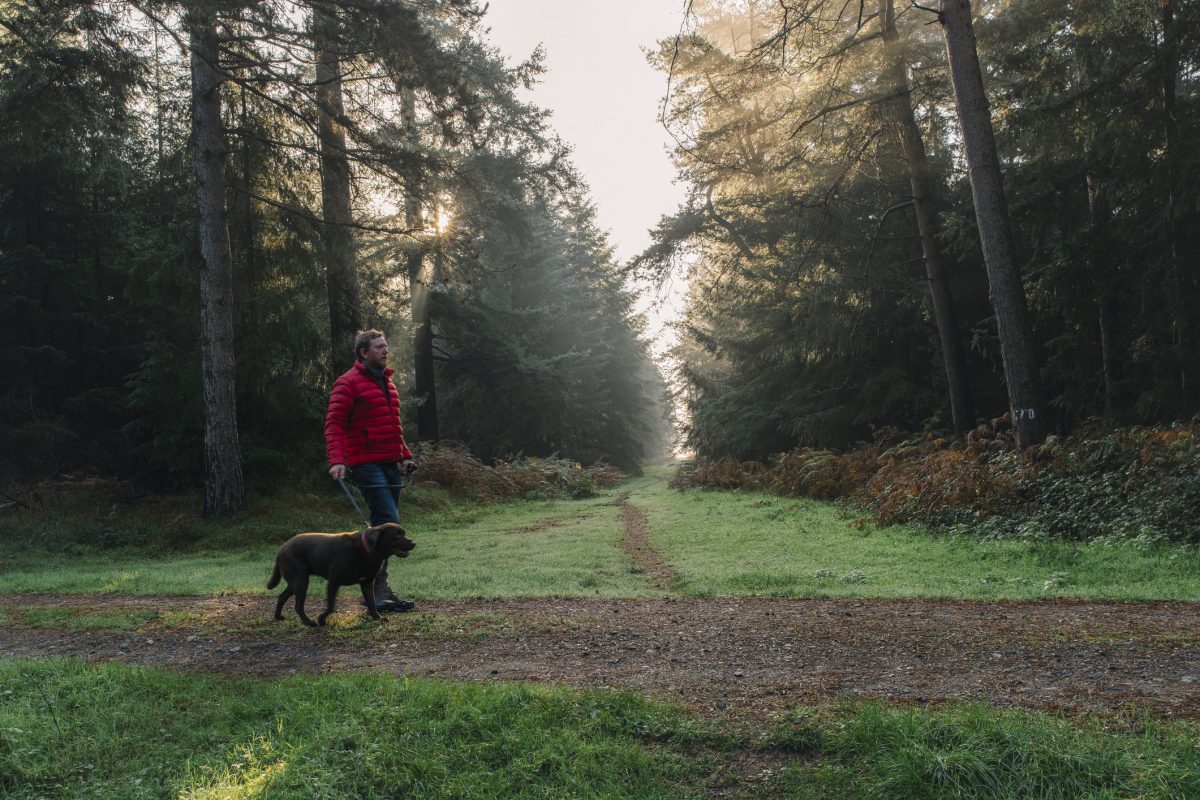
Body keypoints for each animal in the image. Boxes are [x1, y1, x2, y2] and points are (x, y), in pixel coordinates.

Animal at [267, 522, 417, 628]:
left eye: (404, 533)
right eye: (397, 535)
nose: (414, 543)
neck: (367, 549)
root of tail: (281, 549)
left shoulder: (367, 583)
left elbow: (372, 603)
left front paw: (377, 617)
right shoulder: (333, 582)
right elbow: (331, 606)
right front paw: (321, 619)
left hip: (296, 582)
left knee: (282, 597)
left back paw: (278, 617)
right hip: (301, 581)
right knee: (298, 606)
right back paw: (309, 623)